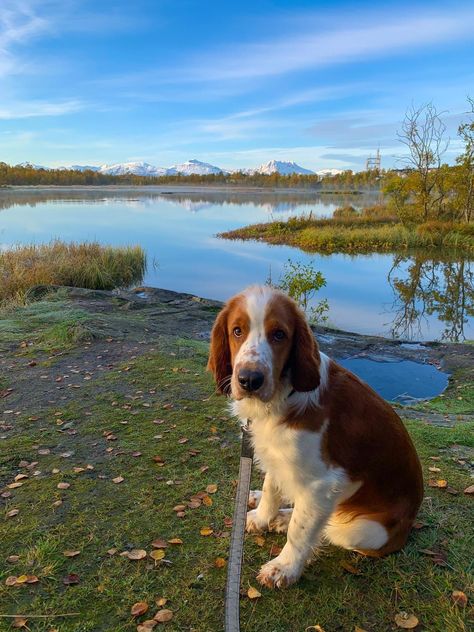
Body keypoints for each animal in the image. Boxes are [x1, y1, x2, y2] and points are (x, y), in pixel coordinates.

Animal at [207, 284, 422, 592]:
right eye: (237, 331)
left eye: (279, 334)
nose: (249, 380)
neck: (284, 396)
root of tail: (407, 528)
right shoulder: (277, 455)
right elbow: (272, 489)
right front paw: (262, 518)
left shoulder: (324, 482)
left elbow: (301, 531)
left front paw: (284, 568)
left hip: (365, 531)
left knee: (326, 525)